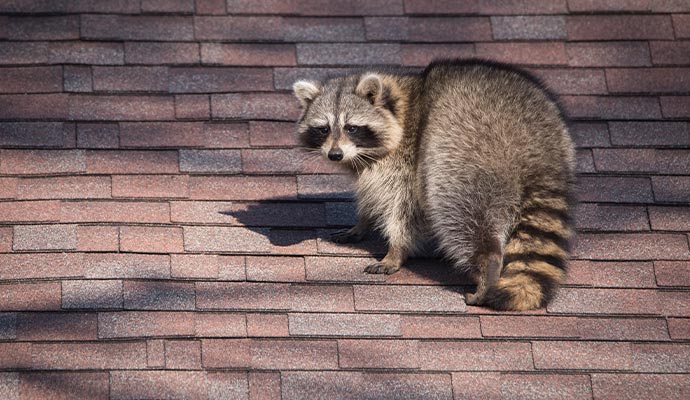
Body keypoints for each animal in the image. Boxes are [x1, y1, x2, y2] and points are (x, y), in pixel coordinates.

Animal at [293, 59, 575, 311]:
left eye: (351, 128)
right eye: (324, 129)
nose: (335, 155)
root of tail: (536, 145)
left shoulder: (406, 160)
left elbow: (403, 207)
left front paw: (396, 249)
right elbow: (371, 194)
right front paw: (363, 222)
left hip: (465, 150)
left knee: (458, 208)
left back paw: (488, 264)